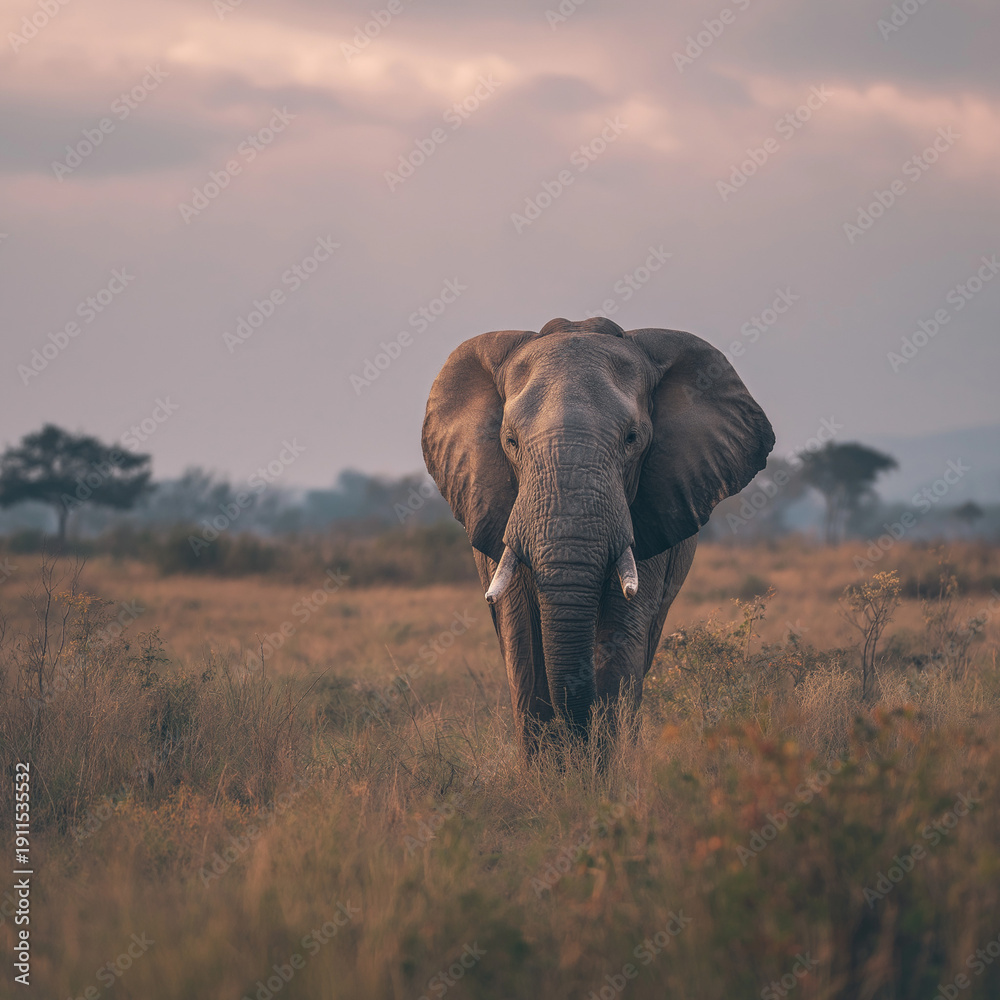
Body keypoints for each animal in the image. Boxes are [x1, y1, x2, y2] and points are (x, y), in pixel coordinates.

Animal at [421, 316, 774, 756]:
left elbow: (621, 636)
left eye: (632, 439)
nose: (576, 740)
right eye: (511, 441)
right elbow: (523, 639)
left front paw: (600, 767)